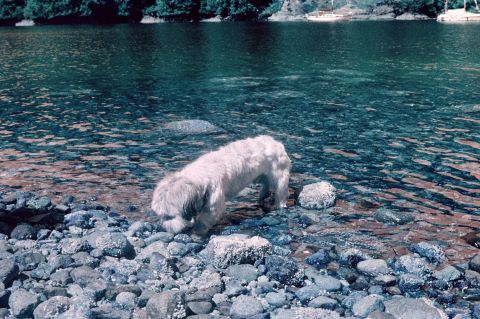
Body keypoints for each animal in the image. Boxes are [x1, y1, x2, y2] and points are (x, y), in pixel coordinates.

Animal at [152, 136, 290, 235]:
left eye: (169, 216)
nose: (163, 227)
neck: (199, 175)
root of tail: (276, 142)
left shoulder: (214, 199)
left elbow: (205, 218)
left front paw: (197, 231)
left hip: (279, 174)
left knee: (280, 190)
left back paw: (279, 204)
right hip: (261, 176)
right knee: (266, 184)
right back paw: (262, 196)